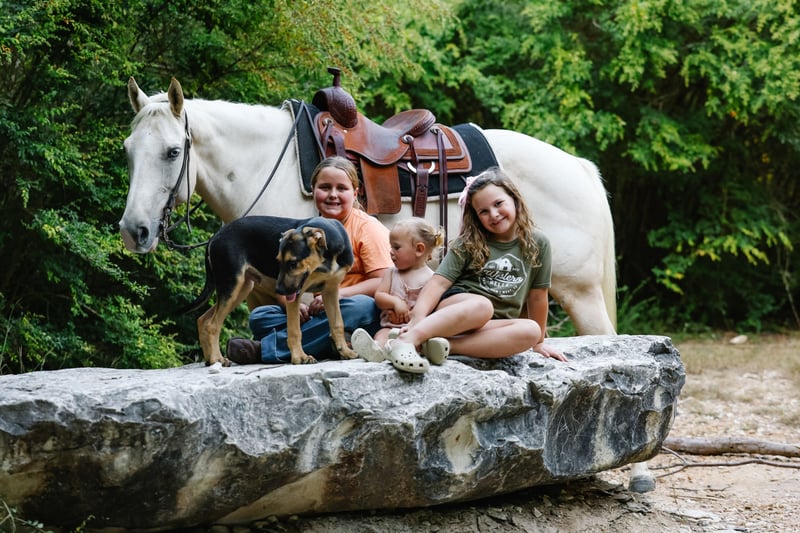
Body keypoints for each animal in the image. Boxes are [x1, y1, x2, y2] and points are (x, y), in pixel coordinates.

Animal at [181, 215, 358, 366]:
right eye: (278, 261)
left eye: (293, 263)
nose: (278, 290)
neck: (327, 258)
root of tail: (215, 236)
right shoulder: (296, 294)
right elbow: (294, 330)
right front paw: (300, 358)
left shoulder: (331, 290)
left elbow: (337, 324)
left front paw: (346, 352)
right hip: (231, 284)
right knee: (212, 325)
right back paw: (217, 359)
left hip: (240, 288)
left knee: (203, 320)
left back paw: (210, 359)